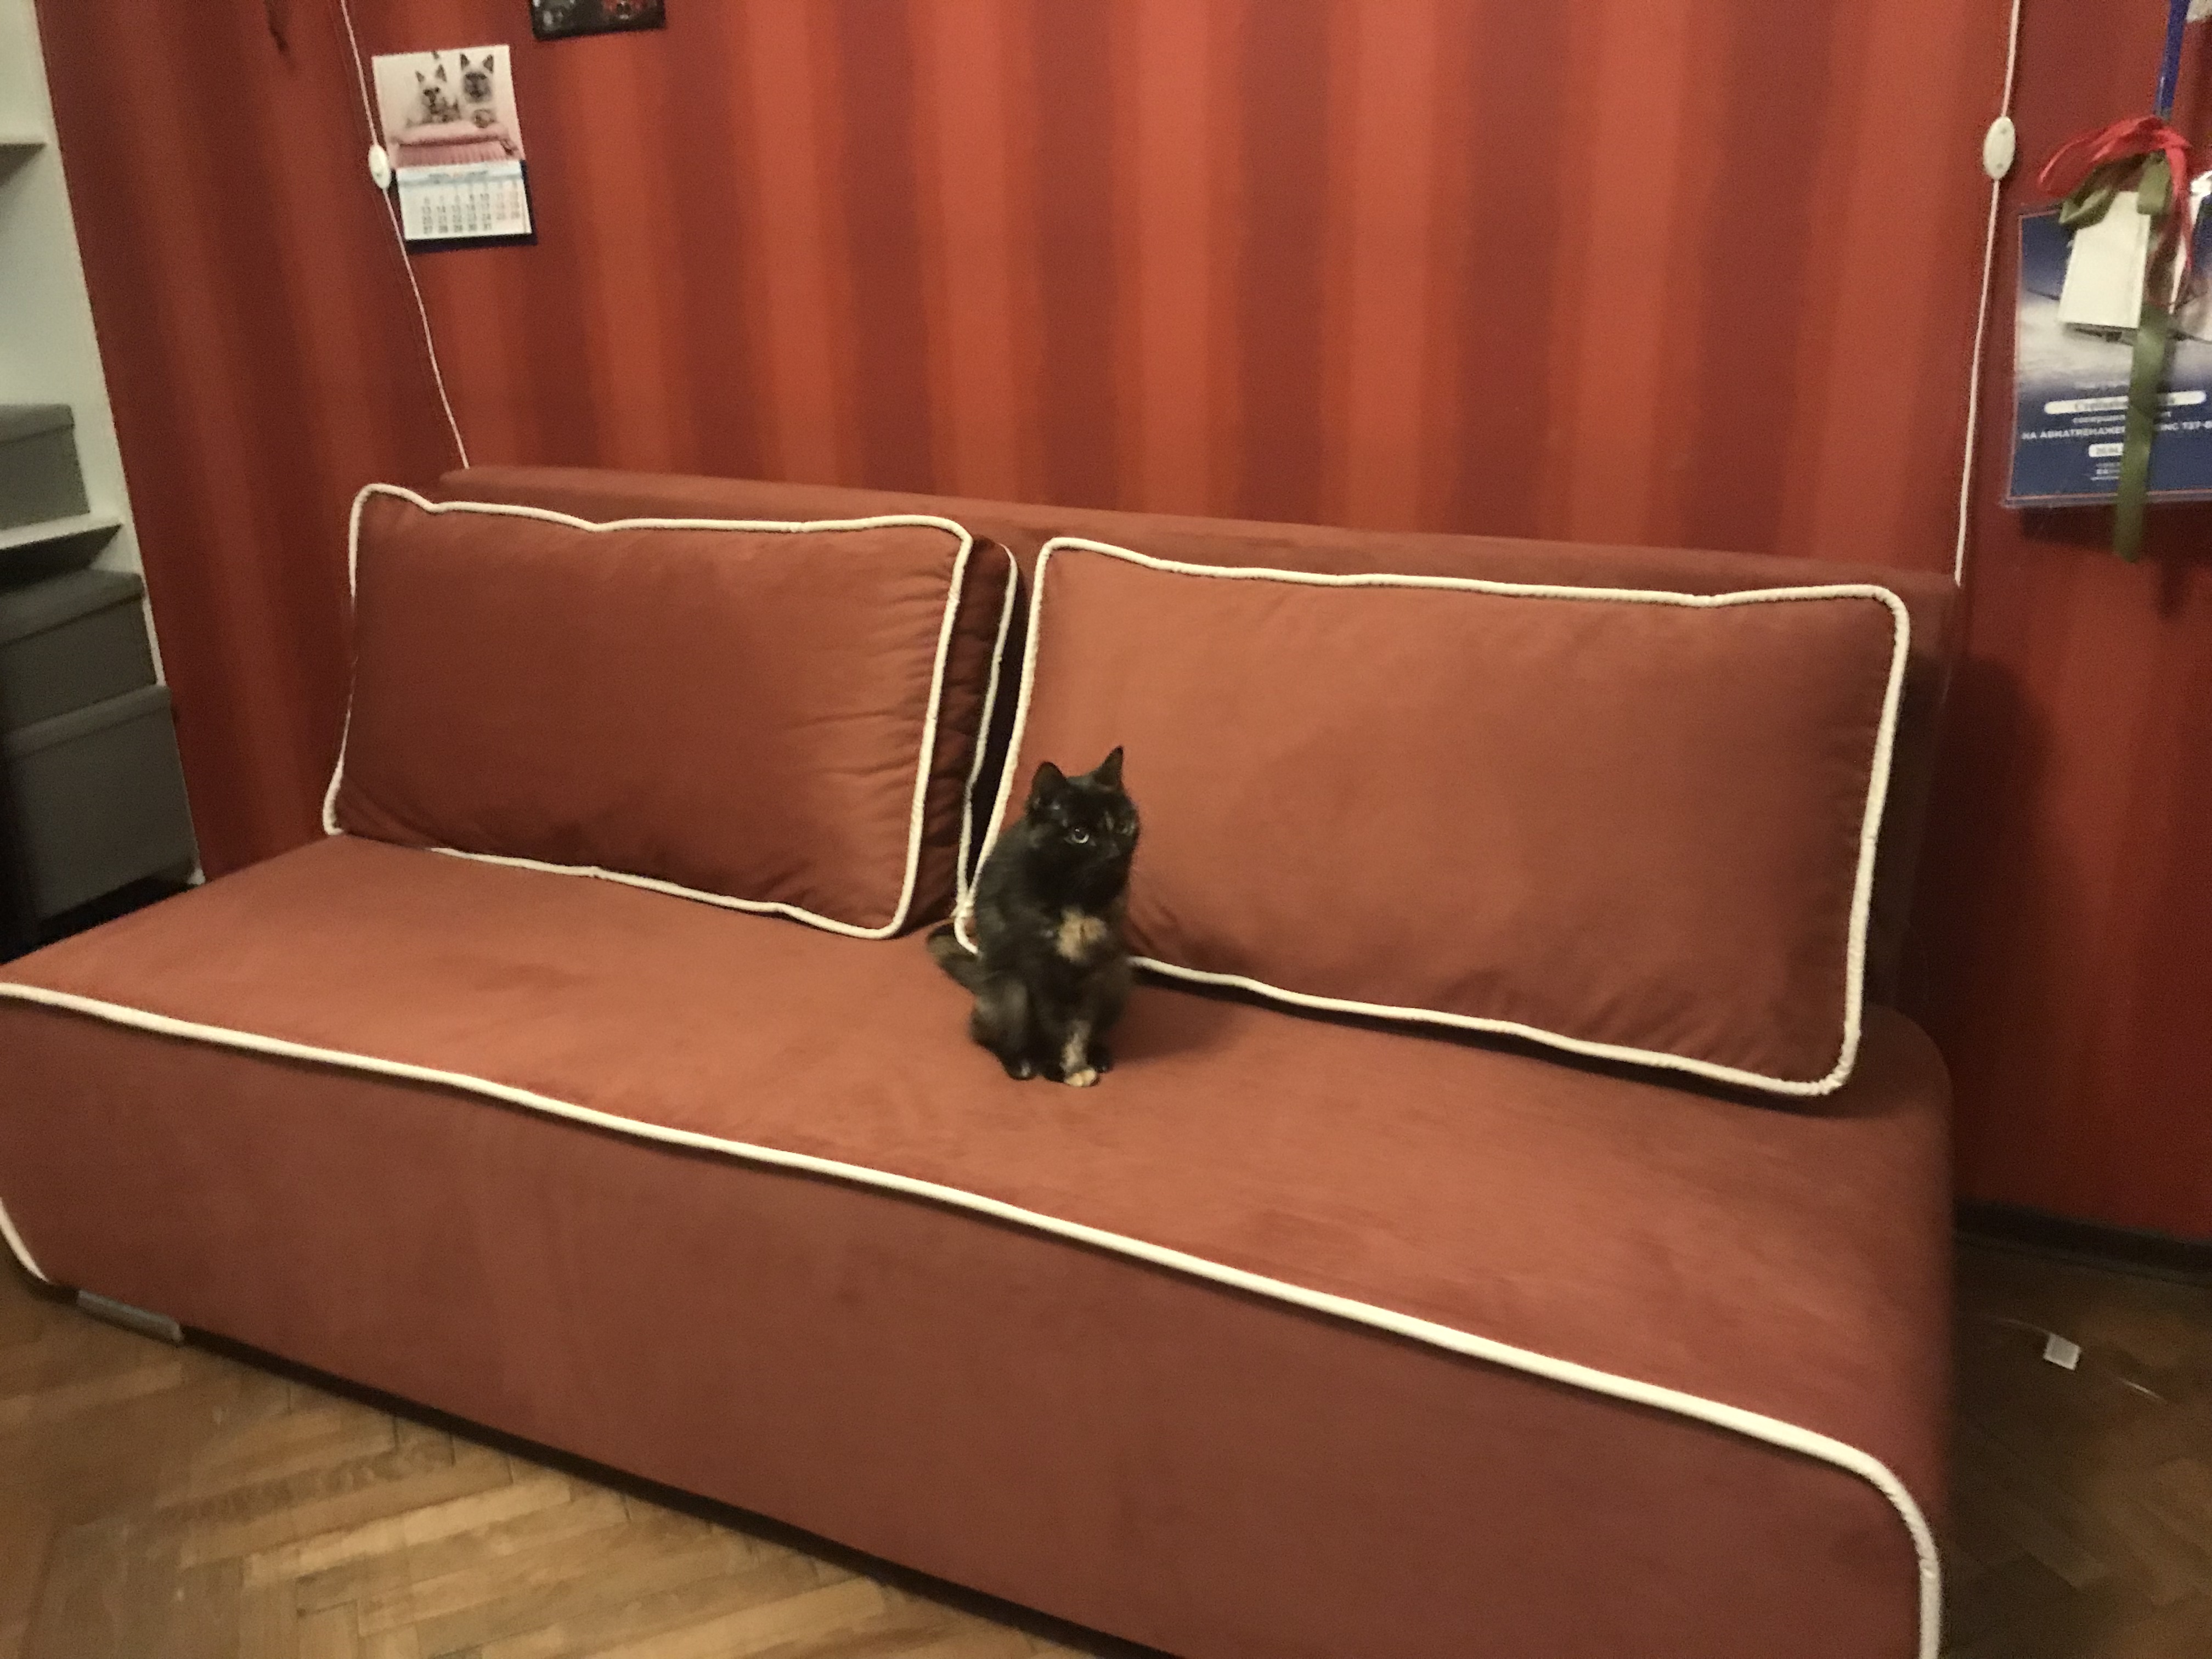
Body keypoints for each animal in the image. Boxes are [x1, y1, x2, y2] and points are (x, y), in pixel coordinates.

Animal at [929, 748, 1138, 1088]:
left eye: (1121, 826)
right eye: (1079, 835)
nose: (1113, 854)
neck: (1077, 897)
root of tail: (980, 978)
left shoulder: (1092, 967)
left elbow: (1082, 1022)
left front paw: (1078, 1061)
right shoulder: (1041, 969)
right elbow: (1054, 1023)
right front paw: (1064, 1069)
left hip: (1117, 975)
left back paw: (1098, 1053)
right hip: (1009, 990)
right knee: (986, 1034)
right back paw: (1021, 1063)